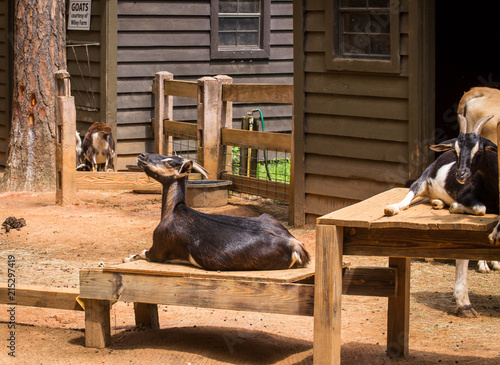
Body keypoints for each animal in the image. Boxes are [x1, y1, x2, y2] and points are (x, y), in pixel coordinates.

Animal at [125, 151, 310, 270]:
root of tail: (295, 244)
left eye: (170, 162)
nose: (142, 156)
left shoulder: (159, 250)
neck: (174, 211)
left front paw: (128, 257)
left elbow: (142, 253)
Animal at [384, 114, 498, 316]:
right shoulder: (466, 194)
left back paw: (438, 203)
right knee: (411, 193)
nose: (461, 174)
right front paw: (455, 207)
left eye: (479, 149)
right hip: (423, 180)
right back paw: (394, 208)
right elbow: (480, 208)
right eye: (456, 150)